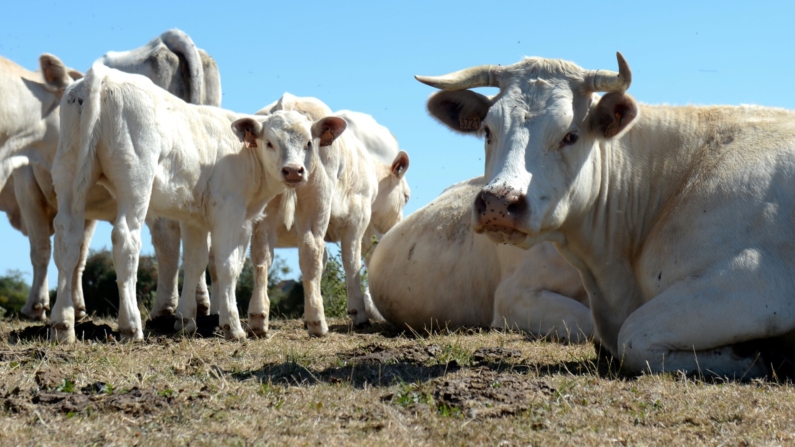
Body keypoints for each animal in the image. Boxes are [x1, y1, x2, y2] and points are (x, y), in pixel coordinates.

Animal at [52, 64, 346, 344]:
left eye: (309, 143)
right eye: (270, 143)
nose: (294, 171)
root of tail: (103, 76)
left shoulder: (194, 219)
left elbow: (195, 261)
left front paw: (185, 321)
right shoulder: (230, 213)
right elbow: (227, 265)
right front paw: (232, 326)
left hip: (68, 174)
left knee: (67, 238)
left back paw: (63, 324)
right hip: (135, 182)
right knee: (125, 240)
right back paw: (131, 326)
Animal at [414, 53, 795, 378]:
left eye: (570, 135)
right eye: (488, 131)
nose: (497, 202)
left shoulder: (754, 278)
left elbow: (634, 337)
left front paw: (755, 357)